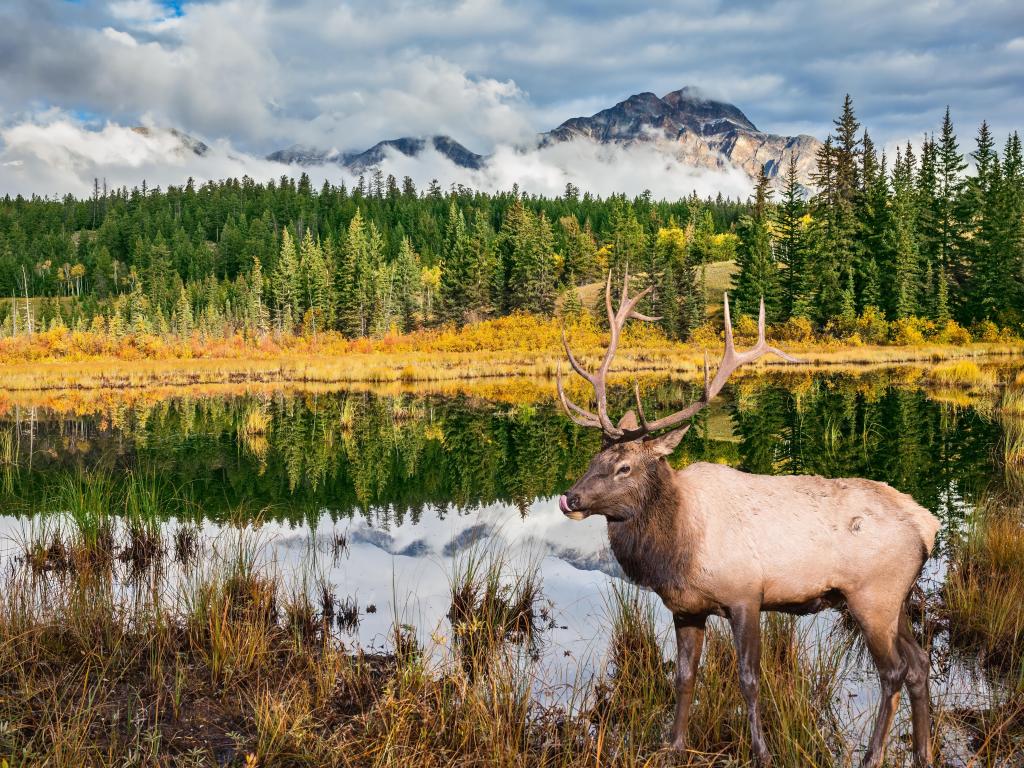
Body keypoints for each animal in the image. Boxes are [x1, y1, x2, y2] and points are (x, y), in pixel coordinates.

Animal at [557, 272, 937, 768]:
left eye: (624, 467)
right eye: (593, 459)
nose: (570, 497)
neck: (677, 548)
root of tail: (927, 525)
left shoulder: (745, 594)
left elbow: (750, 679)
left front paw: (761, 751)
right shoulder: (685, 608)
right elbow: (685, 676)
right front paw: (672, 744)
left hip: (872, 594)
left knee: (893, 671)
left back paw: (873, 756)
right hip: (897, 599)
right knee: (919, 663)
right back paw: (924, 752)